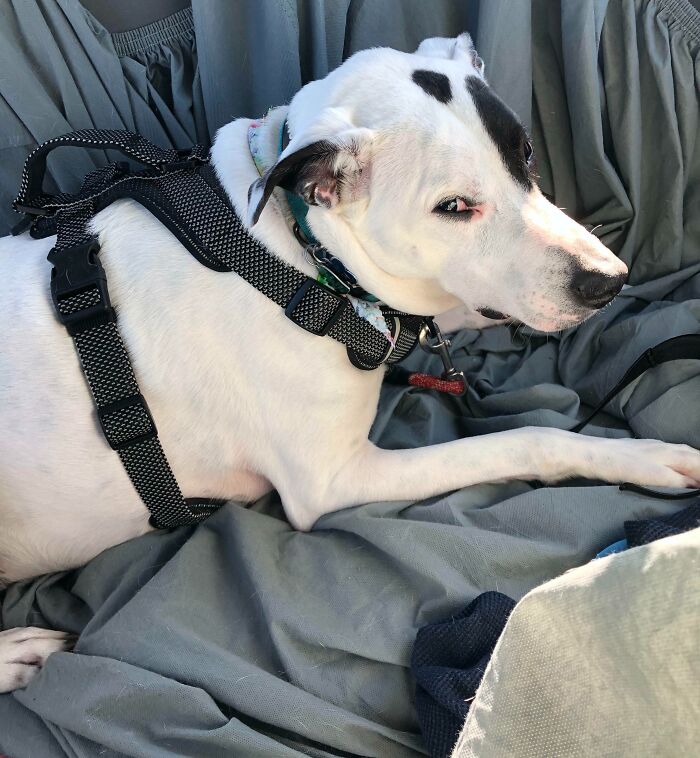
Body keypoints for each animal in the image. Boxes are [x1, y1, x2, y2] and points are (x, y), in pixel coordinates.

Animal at [1, 37, 700, 696]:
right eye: (453, 207)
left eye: (525, 156)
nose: (608, 281)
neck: (294, 255)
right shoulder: (334, 481)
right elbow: (529, 438)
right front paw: (642, 458)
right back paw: (16, 653)